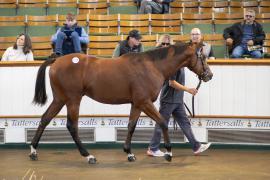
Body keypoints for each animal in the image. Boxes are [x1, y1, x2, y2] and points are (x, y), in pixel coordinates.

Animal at [29, 41, 213, 164]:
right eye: (202, 57)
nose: (209, 75)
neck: (152, 66)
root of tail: (56, 60)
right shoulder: (144, 102)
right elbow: (162, 122)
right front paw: (168, 153)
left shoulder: (137, 104)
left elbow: (131, 125)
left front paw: (129, 153)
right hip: (73, 100)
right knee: (71, 126)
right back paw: (88, 156)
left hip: (60, 99)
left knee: (45, 119)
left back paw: (33, 151)